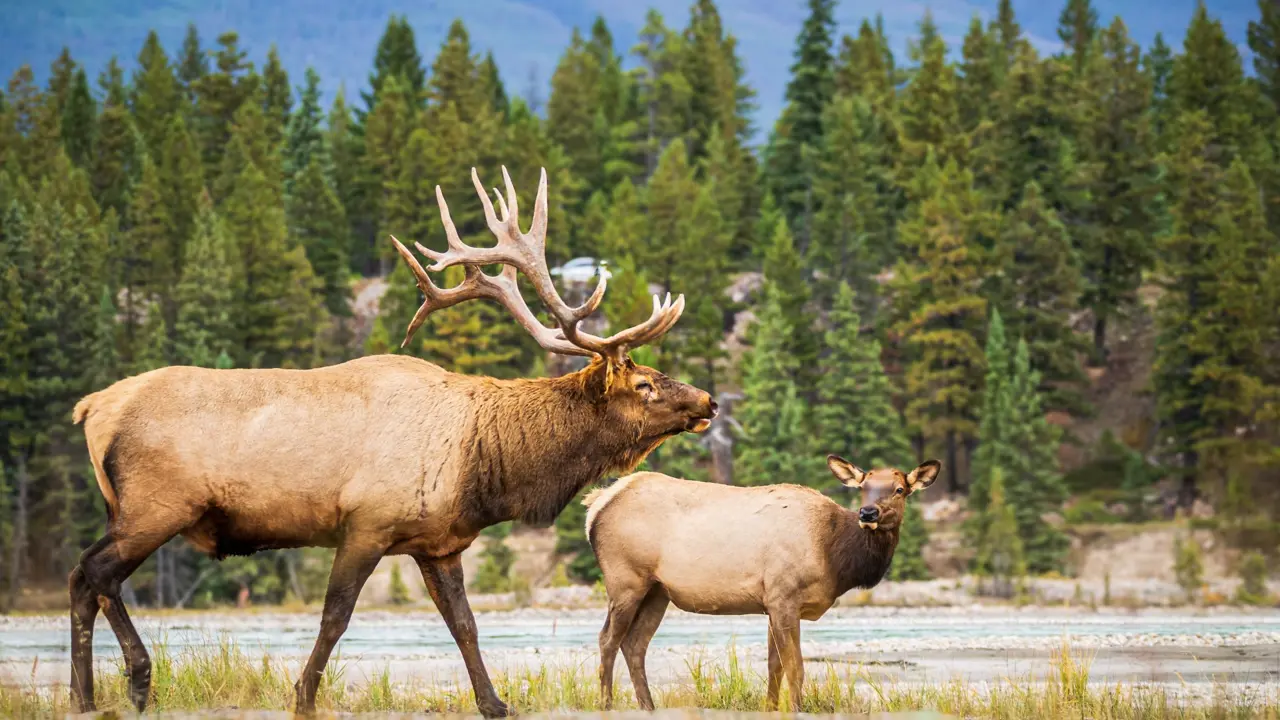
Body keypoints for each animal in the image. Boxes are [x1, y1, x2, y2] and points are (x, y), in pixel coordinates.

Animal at [67, 166, 717, 717]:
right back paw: (137, 679)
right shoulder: (365, 524)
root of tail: (92, 408)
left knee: (82, 579)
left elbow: (465, 624)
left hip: (128, 508)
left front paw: (495, 702)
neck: (485, 465)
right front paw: (303, 696)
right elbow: (335, 616)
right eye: (644, 383)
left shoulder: (439, 543)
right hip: (157, 505)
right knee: (95, 572)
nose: (709, 402)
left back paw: (85, 695)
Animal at [584, 454, 940, 711]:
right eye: (864, 487)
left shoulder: (773, 603)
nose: (868, 513)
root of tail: (596, 505)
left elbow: (774, 666)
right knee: (607, 639)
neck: (835, 556)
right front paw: (797, 708)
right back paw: (606, 704)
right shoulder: (784, 596)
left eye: (899, 490)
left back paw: (648, 706)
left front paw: (771, 707)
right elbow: (795, 666)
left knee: (635, 644)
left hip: (658, 591)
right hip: (626, 579)